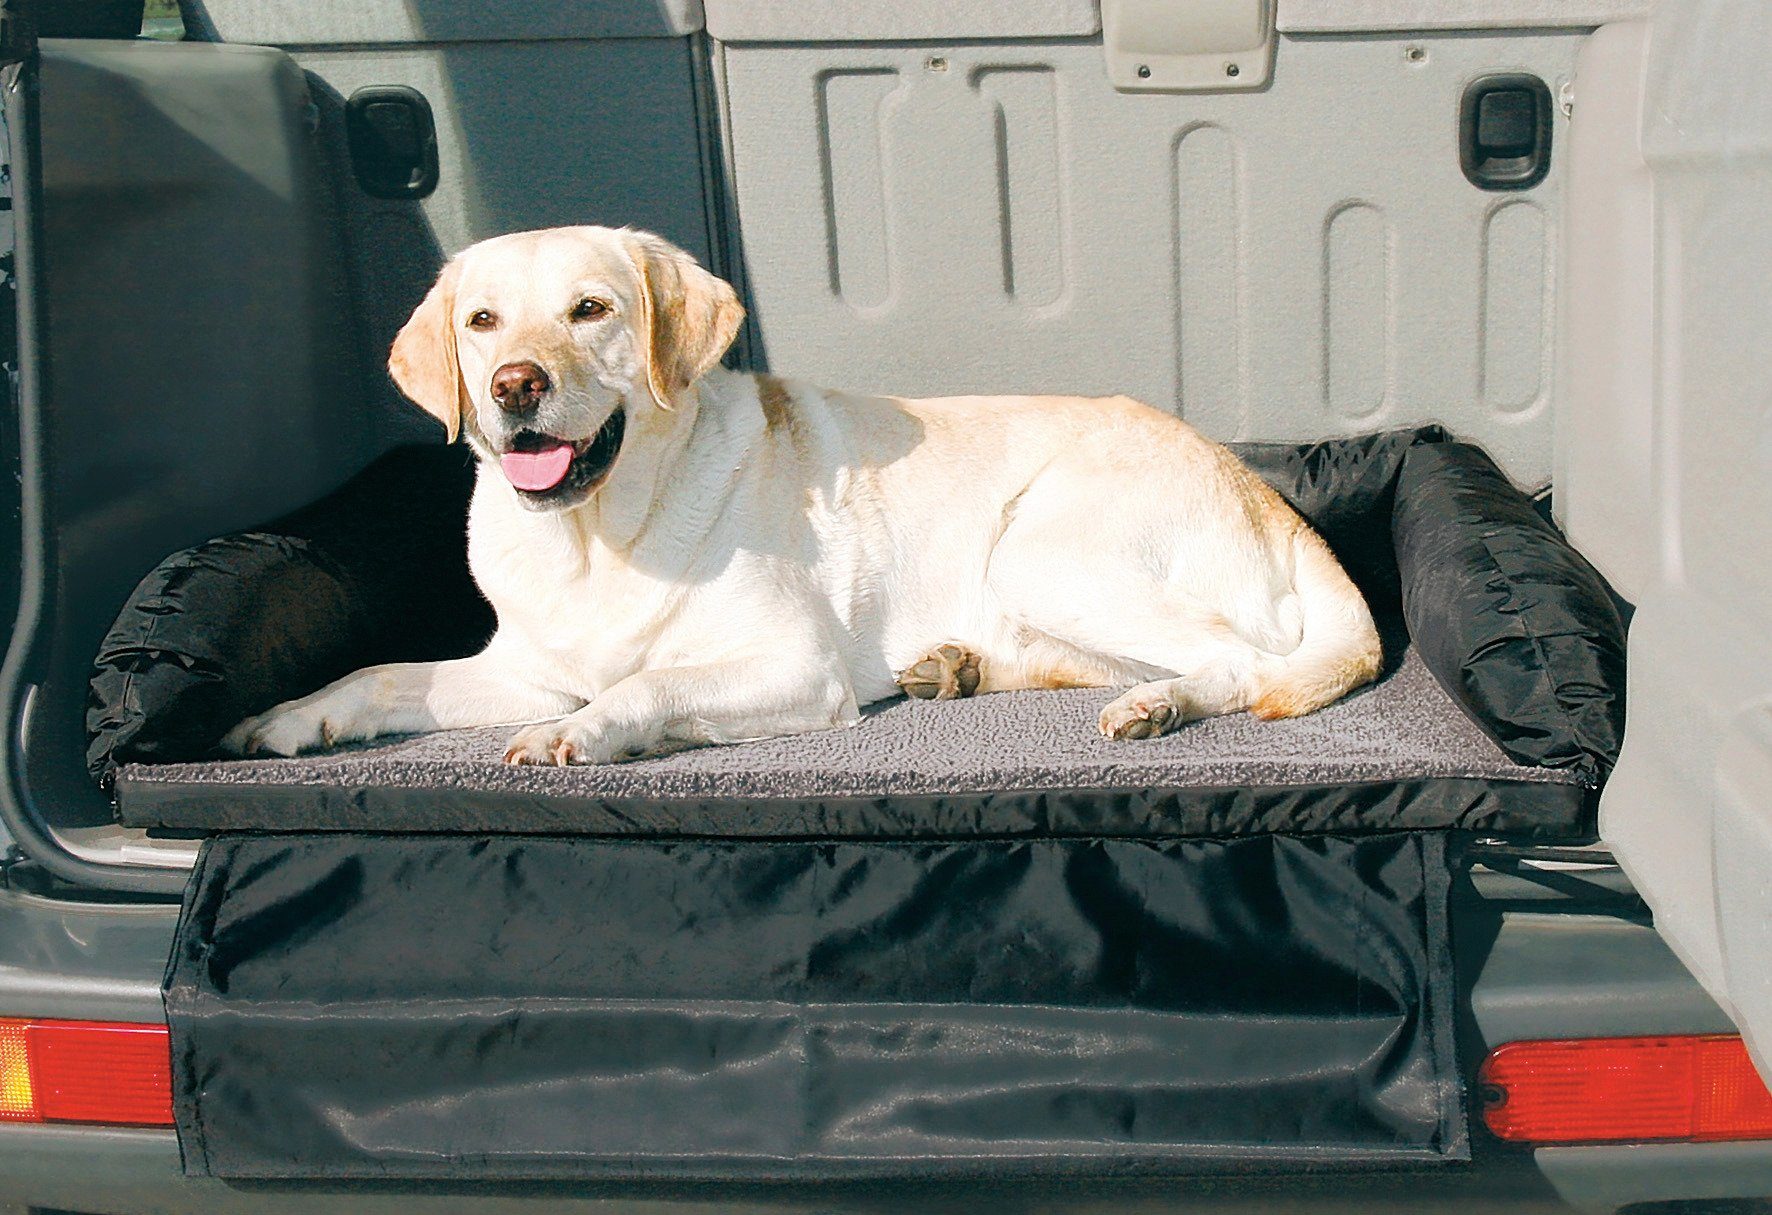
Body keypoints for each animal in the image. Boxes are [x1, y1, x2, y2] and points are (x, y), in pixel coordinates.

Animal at [225, 224, 1382, 765]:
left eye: (590, 309)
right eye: (481, 322)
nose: (515, 387)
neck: (599, 535)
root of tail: (1266, 493)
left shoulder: (793, 667)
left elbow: (648, 685)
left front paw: (589, 735)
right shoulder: (526, 665)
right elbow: (385, 676)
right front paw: (287, 716)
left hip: (1047, 551)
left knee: (1244, 662)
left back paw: (1154, 706)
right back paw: (953, 667)